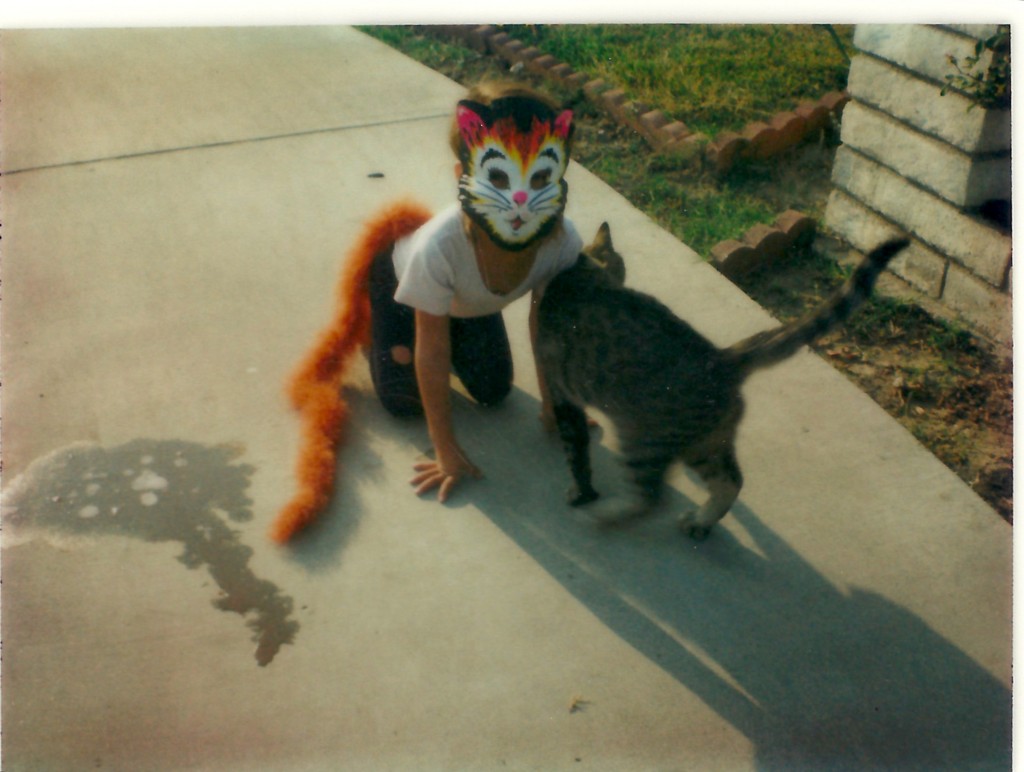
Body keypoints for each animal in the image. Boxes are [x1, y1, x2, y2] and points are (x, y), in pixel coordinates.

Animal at [536, 223, 909, 539]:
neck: (581, 274)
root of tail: (722, 358)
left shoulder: (562, 394)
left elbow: (577, 453)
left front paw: (581, 494)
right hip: (704, 443)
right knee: (732, 480)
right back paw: (701, 521)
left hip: (646, 442)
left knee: (651, 499)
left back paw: (605, 517)